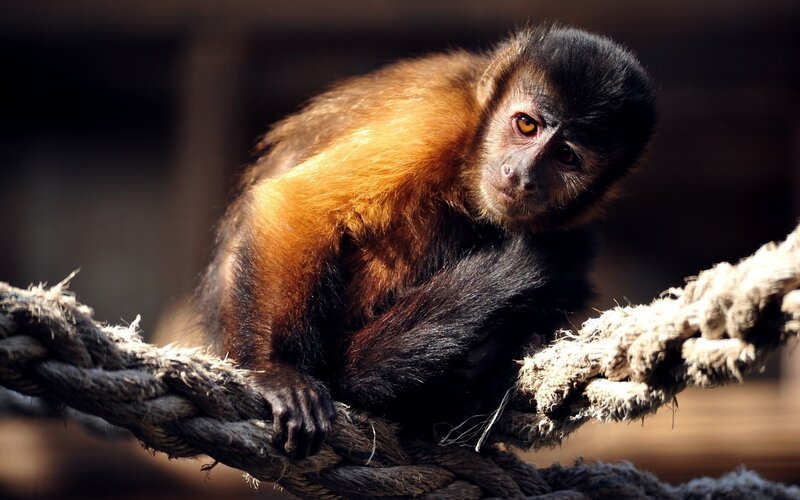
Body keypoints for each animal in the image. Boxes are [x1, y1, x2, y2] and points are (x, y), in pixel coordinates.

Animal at [200, 26, 656, 460]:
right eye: (527, 125)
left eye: (566, 157)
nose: (520, 174)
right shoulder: (434, 123)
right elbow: (299, 205)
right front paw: (276, 370)